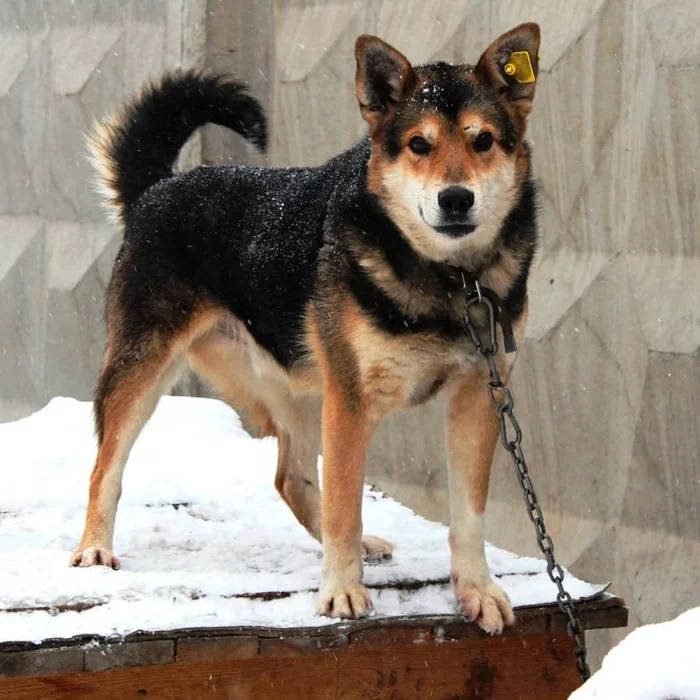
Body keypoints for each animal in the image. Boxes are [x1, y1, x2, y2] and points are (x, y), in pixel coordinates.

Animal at [72, 23, 540, 636]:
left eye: (483, 140)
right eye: (420, 145)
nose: (456, 199)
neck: (450, 278)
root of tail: (158, 188)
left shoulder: (478, 396)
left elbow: (468, 514)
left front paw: (477, 590)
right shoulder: (352, 400)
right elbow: (345, 503)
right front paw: (340, 592)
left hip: (297, 383)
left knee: (290, 478)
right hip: (144, 371)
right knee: (105, 467)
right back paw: (94, 549)